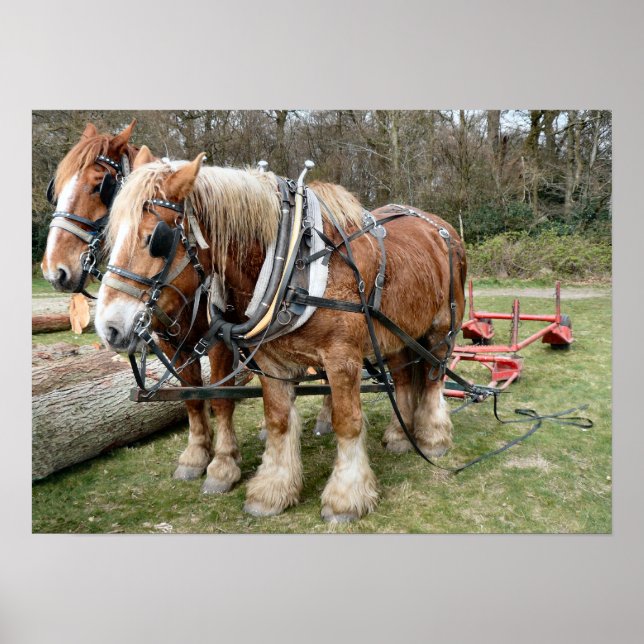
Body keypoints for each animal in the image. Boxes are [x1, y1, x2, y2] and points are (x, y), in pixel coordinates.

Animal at [95, 150, 467, 521]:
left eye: (155, 239)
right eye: (111, 236)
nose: (109, 327)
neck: (293, 260)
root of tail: (442, 227)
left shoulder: (342, 358)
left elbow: (347, 422)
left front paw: (346, 496)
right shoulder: (271, 361)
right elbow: (276, 421)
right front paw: (272, 490)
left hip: (441, 328)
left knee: (433, 378)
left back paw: (433, 438)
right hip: (398, 334)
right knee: (403, 379)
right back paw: (399, 435)